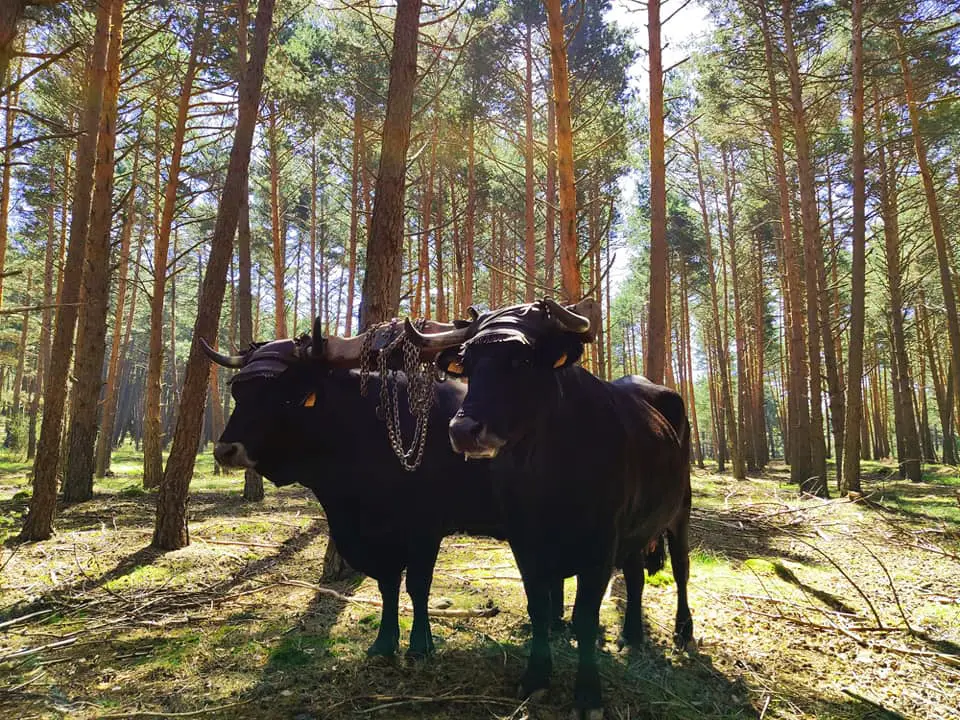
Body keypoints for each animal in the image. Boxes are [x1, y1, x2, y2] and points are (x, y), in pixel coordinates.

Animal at [202, 318, 566, 659]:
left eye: (280, 394)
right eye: (238, 393)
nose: (225, 450)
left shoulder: (425, 527)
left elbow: (418, 584)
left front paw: (420, 644)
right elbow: (388, 585)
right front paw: (384, 642)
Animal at [405, 298, 694, 719]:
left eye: (522, 360)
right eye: (468, 364)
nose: (462, 430)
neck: (546, 474)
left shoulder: (600, 543)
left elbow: (585, 618)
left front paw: (588, 695)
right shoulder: (524, 539)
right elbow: (539, 607)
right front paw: (536, 677)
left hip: (680, 508)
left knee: (682, 569)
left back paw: (683, 631)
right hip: (636, 527)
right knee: (636, 576)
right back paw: (631, 635)